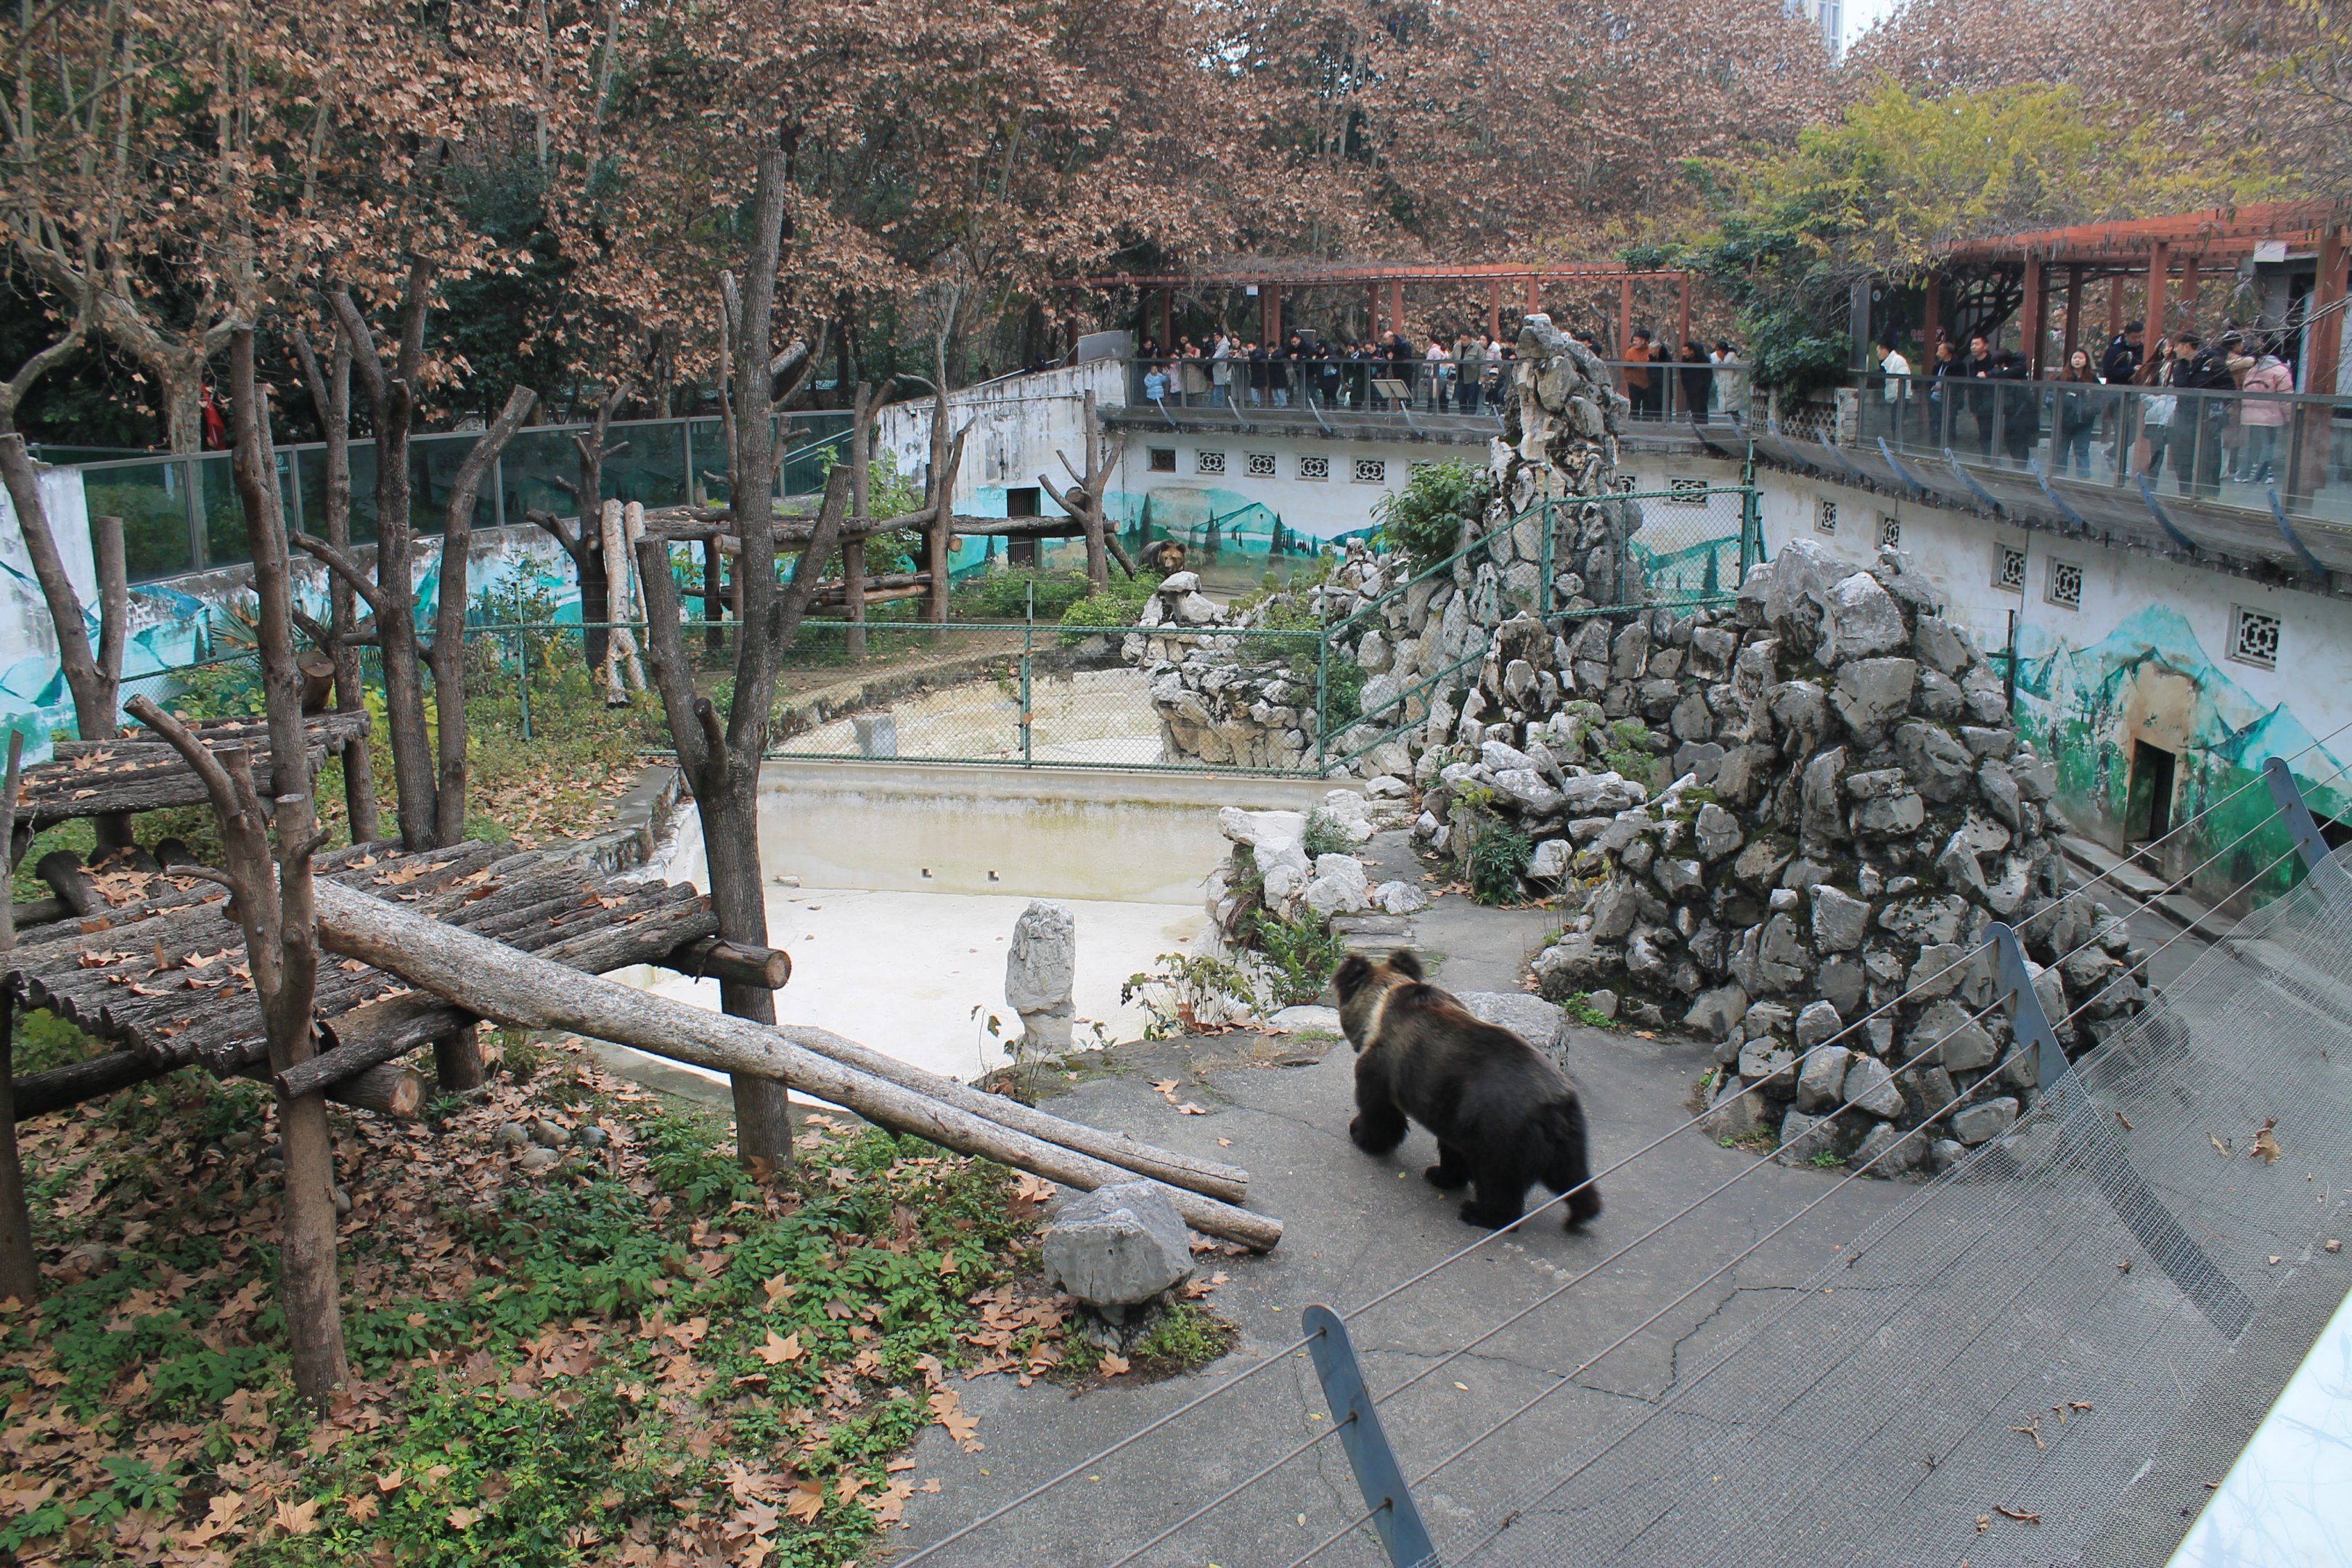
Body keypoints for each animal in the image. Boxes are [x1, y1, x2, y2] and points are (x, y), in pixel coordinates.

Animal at [1333, 949, 1601, 1231]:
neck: (1379, 1007)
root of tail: (1552, 1107)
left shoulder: (1385, 1066)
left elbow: (1380, 1112)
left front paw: (1361, 1134)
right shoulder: (1450, 1108)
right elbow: (1452, 1148)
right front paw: (1441, 1174)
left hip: (1502, 1131)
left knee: (1498, 1180)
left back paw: (1480, 1213)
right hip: (1565, 1135)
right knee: (1571, 1174)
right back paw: (1581, 1213)